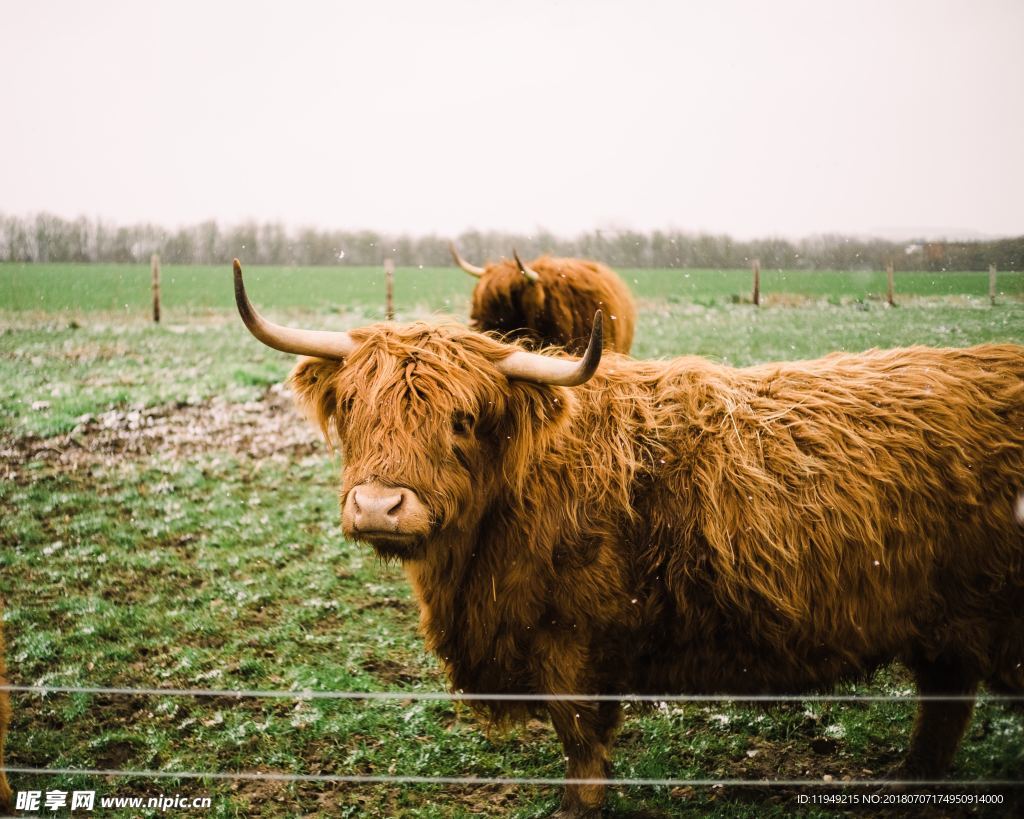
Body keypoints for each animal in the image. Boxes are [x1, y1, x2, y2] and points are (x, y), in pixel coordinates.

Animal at [235, 259, 1024, 814]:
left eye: (462, 419)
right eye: (353, 408)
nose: (378, 505)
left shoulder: (573, 640)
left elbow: (580, 735)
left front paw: (575, 806)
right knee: (944, 700)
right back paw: (910, 778)